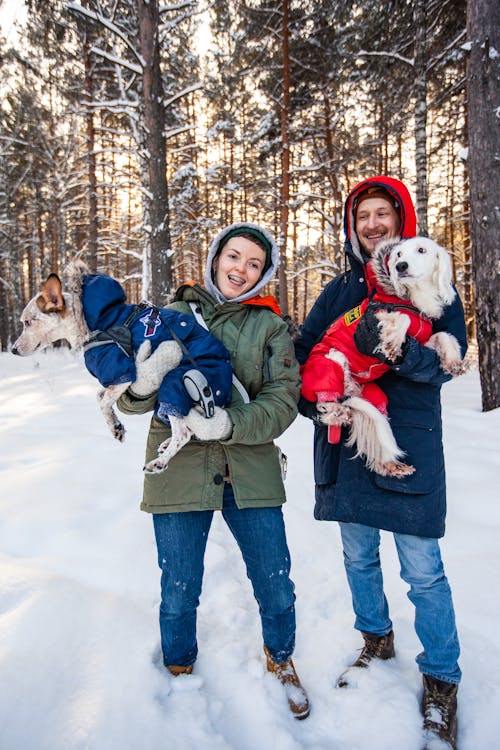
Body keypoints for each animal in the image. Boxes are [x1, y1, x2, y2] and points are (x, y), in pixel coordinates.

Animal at [12, 262, 232, 476]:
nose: (13, 349)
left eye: (28, 322)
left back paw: (160, 462)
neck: (90, 323)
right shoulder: (114, 381)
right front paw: (115, 423)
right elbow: (99, 396)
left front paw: (114, 427)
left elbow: (103, 403)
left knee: (183, 432)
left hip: (176, 381)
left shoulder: (123, 373)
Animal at [300, 238, 464, 478]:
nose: (400, 267)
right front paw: (393, 343)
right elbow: (402, 319)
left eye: (421, 250)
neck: (413, 299)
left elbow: (443, 335)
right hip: (330, 363)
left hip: (375, 399)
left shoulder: (422, 340)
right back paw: (337, 412)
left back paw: (391, 465)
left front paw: (453, 362)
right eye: (398, 254)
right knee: (325, 403)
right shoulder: (377, 314)